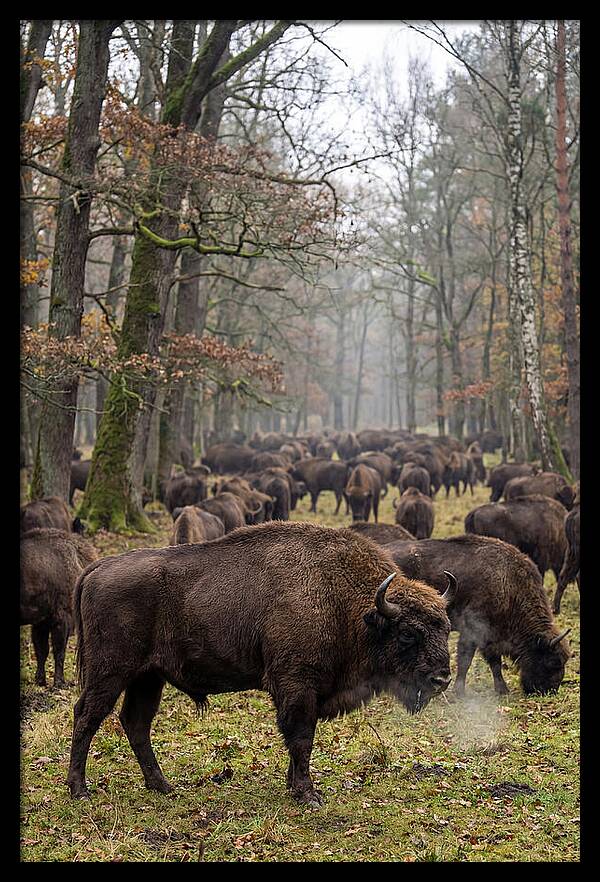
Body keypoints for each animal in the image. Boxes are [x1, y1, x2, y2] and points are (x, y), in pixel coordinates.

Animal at [67, 522, 454, 806]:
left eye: (446, 627)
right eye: (408, 633)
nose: (442, 679)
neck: (349, 605)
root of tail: (97, 568)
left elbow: (299, 741)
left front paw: (294, 786)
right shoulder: (297, 684)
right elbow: (301, 738)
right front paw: (309, 795)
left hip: (148, 677)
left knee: (136, 723)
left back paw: (163, 786)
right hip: (110, 672)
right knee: (87, 716)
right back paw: (79, 790)